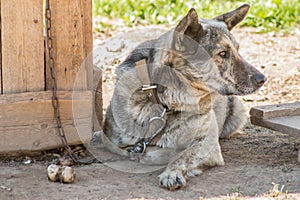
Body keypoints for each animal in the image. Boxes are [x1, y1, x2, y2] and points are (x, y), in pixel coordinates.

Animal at [101, 3, 268, 190]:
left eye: (238, 51)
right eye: (223, 53)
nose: (262, 79)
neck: (167, 103)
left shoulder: (207, 144)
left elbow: (181, 155)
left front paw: (171, 172)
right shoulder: (112, 142)